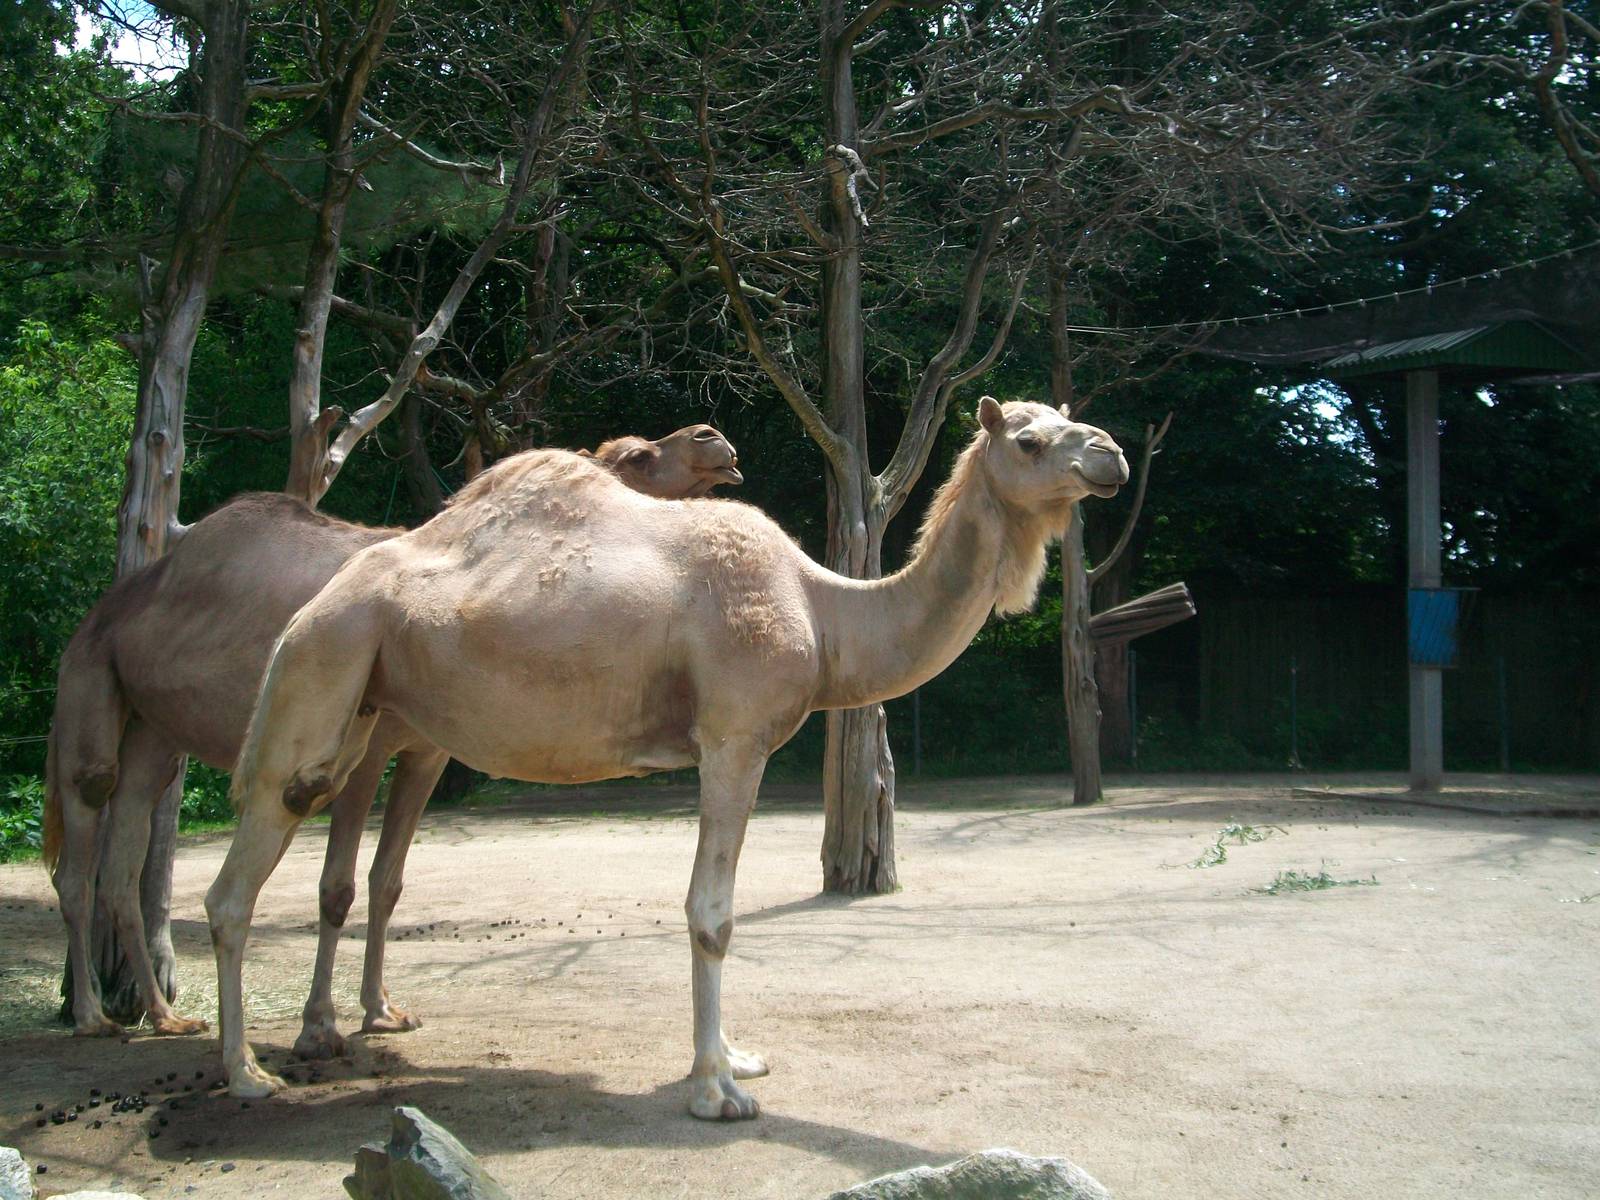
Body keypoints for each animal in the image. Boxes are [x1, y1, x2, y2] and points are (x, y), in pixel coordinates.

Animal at [43, 424, 741, 1050]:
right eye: (639, 457)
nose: (714, 441)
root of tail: (110, 607)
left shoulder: (426, 753)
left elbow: (388, 882)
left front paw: (382, 1011)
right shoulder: (368, 749)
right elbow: (338, 888)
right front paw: (318, 1027)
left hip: (153, 727)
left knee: (123, 859)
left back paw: (165, 1017)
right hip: (89, 677)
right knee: (82, 837)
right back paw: (92, 1017)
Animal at [205, 397, 1126, 1117]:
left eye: (1065, 420)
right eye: (1029, 441)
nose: (1110, 455)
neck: (824, 613)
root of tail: (309, 612)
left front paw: (736, 1056)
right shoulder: (733, 738)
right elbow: (712, 913)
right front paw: (718, 1088)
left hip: (370, 701)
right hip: (328, 663)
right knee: (240, 878)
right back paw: (248, 1073)